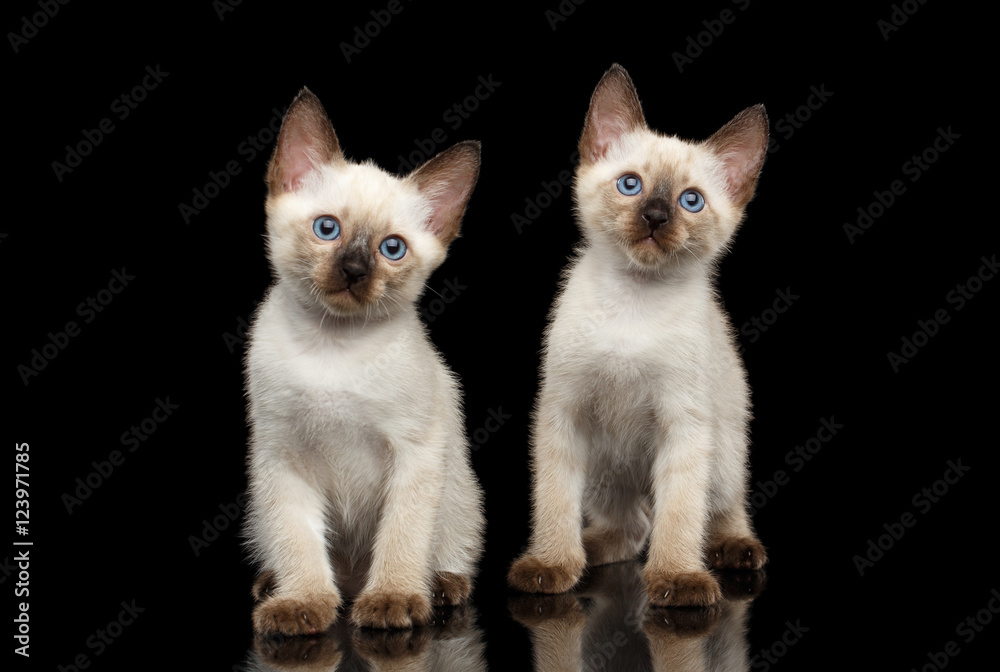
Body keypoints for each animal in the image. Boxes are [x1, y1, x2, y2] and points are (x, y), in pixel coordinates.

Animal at [248, 88, 486, 636]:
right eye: (327, 229)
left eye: (391, 249)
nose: (355, 271)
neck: (333, 347)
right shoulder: (281, 456)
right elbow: (297, 540)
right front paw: (302, 603)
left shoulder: (415, 451)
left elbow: (401, 534)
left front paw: (393, 598)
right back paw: (275, 585)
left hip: (457, 493)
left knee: (445, 547)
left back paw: (436, 586)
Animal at [512, 65, 768, 608]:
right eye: (630, 185)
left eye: (690, 201)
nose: (654, 217)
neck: (634, 301)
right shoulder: (563, 412)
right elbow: (554, 500)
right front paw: (551, 564)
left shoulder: (684, 425)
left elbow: (680, 512)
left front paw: (677, 578)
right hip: (606, 470)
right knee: (633, 523)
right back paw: (586, 552)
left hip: (724, 451)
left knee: (717, 507)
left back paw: (733, 548)